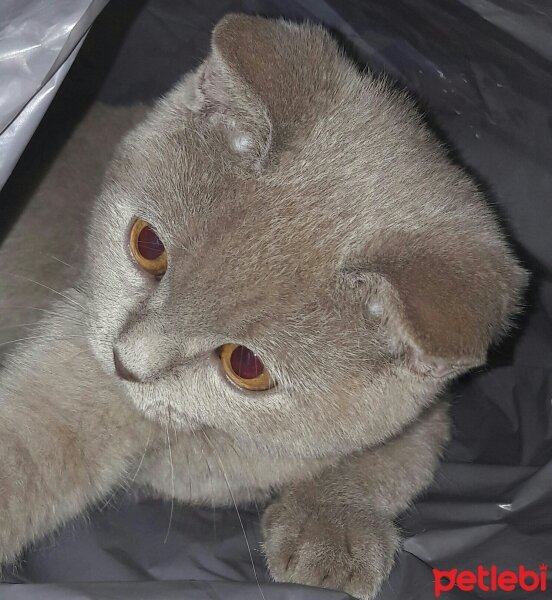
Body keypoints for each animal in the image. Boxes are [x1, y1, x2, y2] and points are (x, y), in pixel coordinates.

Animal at [0, 14, 528, 600]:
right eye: (148, 245)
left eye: (246, 364)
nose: (125, 364)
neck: (212, 443)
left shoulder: (424, 414)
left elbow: (397, 459)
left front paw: (332, 532)